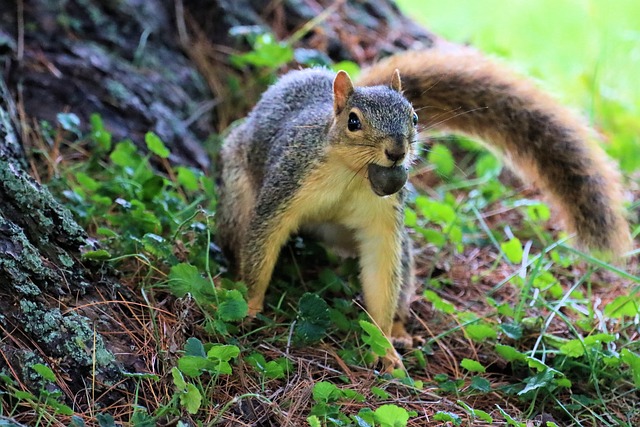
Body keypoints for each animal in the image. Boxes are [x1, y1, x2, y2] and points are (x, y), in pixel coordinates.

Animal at [216, 47, 632, 371]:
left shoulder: (384, 221)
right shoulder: (287, 184)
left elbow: (382, 274)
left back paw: (400, 331)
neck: (353, 174)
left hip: (393, 245)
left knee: (401, 276)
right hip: (238, 191)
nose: (397, 151)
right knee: (239, 232)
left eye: (414, 118)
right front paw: (249, 305)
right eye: (353, 122)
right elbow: (264, 239)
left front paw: (384, 346)